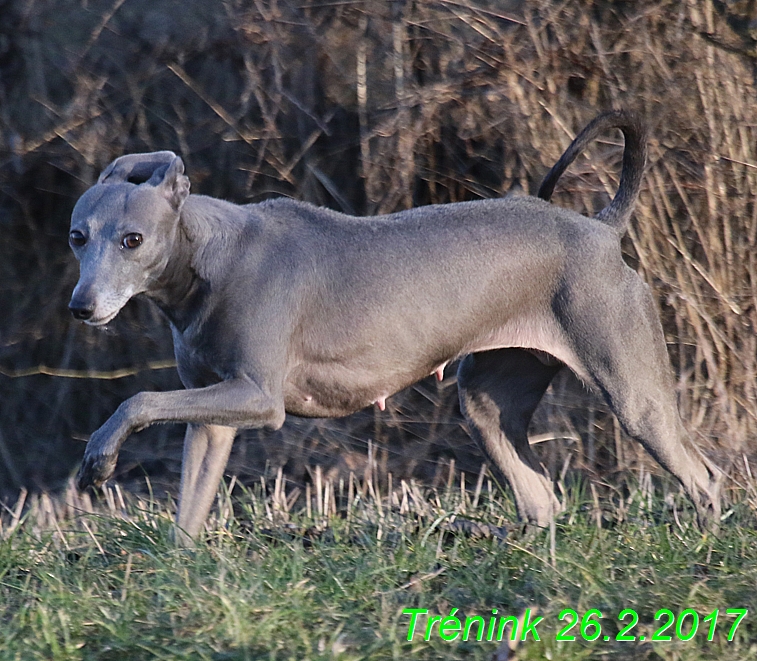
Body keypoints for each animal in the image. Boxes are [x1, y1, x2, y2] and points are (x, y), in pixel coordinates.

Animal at [69, 109, 720, 540]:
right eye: (78, 237)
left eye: (132, 240)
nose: (82, 307)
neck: (208, 257)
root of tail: (602, 229)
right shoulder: (214, 414)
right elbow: (187, 510)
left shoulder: (255, 397)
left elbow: (139, 400)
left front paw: (98, 458)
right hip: (487, 404)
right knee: (541, 499)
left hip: (632, 394)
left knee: (704, 476)